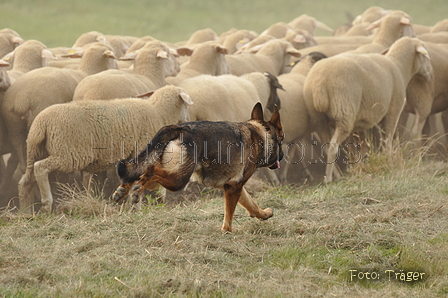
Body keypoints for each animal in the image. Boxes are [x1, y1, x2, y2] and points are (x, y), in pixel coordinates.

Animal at [18, 85, 192, 214]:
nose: (188, 121)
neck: (159, 113)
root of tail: (42, 123)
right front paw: (136, 206)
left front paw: (129, 204)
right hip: (67, 154)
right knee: (40, 168)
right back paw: (46, 205)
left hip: (34, 151)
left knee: (26, 180)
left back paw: (25, 211)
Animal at [112, 103, 284, 233]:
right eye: (282, 139)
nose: (282, 156)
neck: (260, 134)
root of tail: (177, 128)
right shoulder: (234, 187)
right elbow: (229, 215)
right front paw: (226, 232)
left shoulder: (233, 186)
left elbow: (251, 203)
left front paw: (263, 214)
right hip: (178, 181)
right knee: (150, 170)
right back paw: (136, 189)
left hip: (164, 174)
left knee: (137, 173)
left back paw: (124, 190)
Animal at [302, 37, 432, 182]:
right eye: (425, 54)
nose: (430, 74)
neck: (399, 66)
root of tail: (320, 83)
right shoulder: (393, 110)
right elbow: (387, 141)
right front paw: (390, 163)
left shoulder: (362, 122)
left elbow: (360, 147)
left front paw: (358, 167)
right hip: (344, 112)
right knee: (333, 146)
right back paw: (329, 179)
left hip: (319, 117)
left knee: (326, 146)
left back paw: (336, 175)